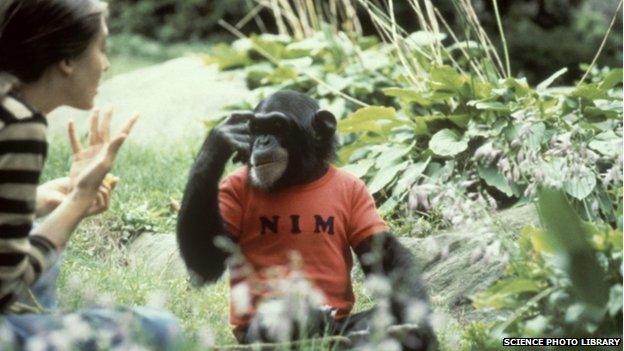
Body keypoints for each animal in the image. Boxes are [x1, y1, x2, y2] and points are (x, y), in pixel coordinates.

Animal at [177, 90, 434, 350]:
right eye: (256, 128)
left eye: (277, 125)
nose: (262, 141)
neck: (298, 179)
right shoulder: (231, 188)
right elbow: (206, 262)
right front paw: (218, 142)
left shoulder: (359, 190)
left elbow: (382, 252)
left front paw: (421, 324)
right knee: (273, 318)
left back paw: (390, 333)